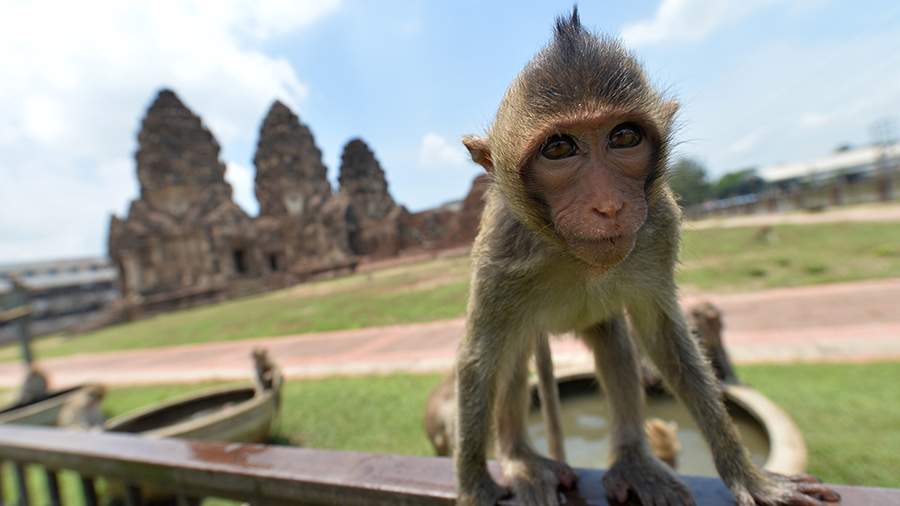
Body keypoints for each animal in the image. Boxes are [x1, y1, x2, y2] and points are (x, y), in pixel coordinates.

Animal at [454, 7, 840, 506]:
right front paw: (476, 486)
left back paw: (633, 460)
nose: (609, 205)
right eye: (558, 148)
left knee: (615, 343)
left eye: (623, 137)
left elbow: (664, 337)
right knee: (512, 357)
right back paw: (523, 458)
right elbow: (479, 359)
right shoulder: (503, 251)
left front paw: (748, 475)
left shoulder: (659, 225)